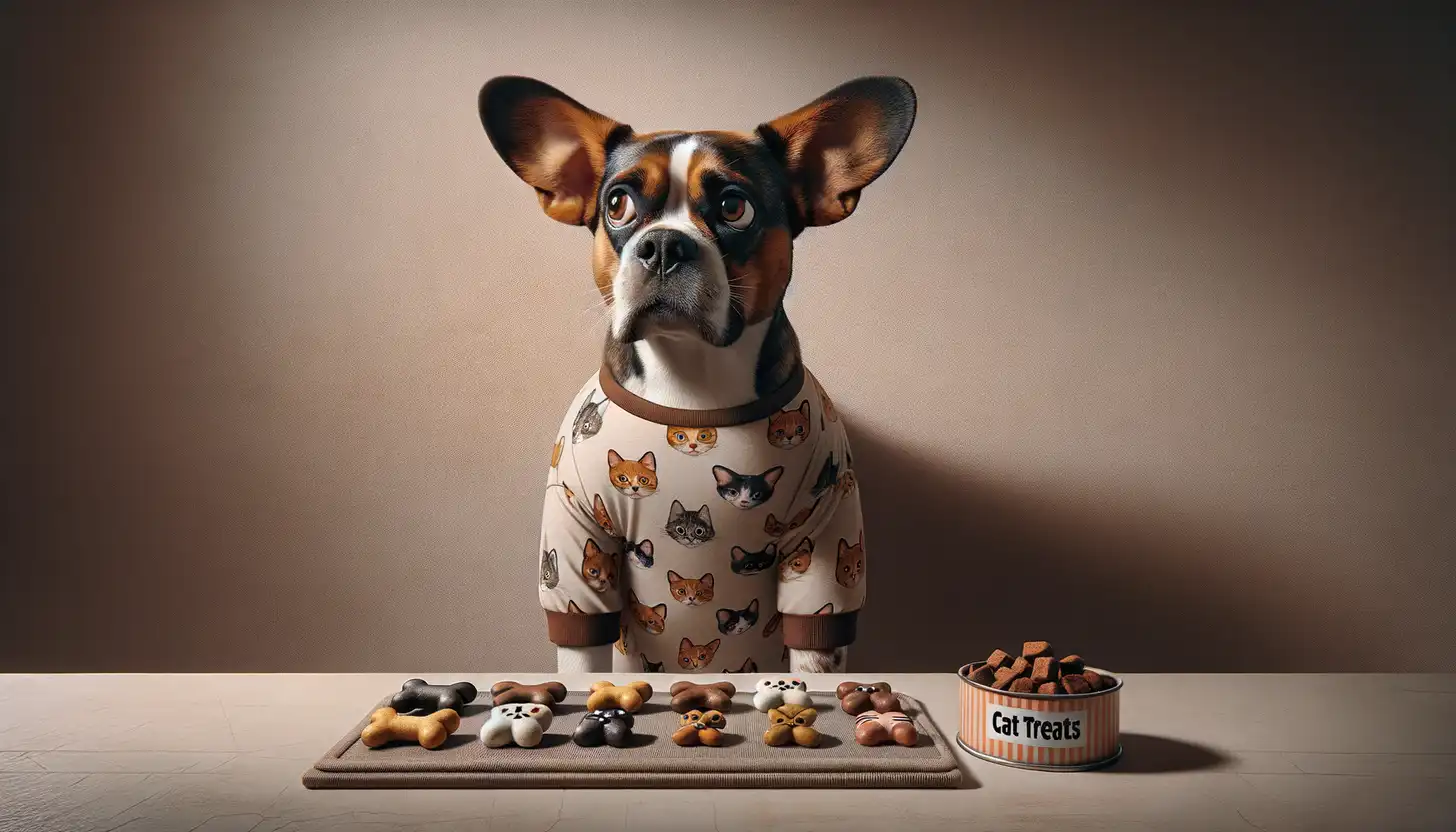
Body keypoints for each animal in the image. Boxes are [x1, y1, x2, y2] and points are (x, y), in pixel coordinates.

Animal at [477, 71, 908, 673]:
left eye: (733, 206)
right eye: (618, 203)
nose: (662, 244)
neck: (691, 386)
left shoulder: (823, 549)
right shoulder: (577, 557)